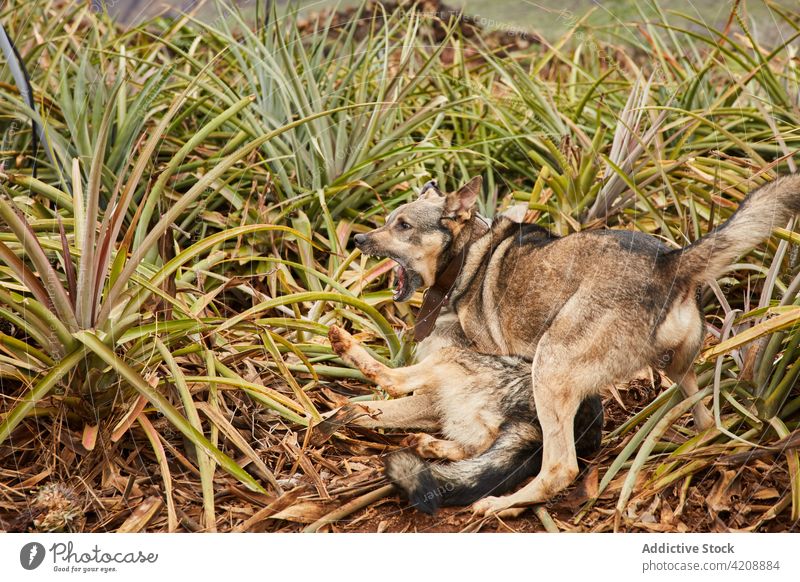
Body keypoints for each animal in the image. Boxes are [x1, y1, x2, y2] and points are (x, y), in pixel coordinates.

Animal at [330, 176, 792, 516]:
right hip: (679, 371)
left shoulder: (471, 354)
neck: (467, 255)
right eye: (387, 219)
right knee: (706, 421)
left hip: (546, 368)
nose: (357, 239)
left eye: (403, 226)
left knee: (557, 466)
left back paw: (503, 503)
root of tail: (670, 262)